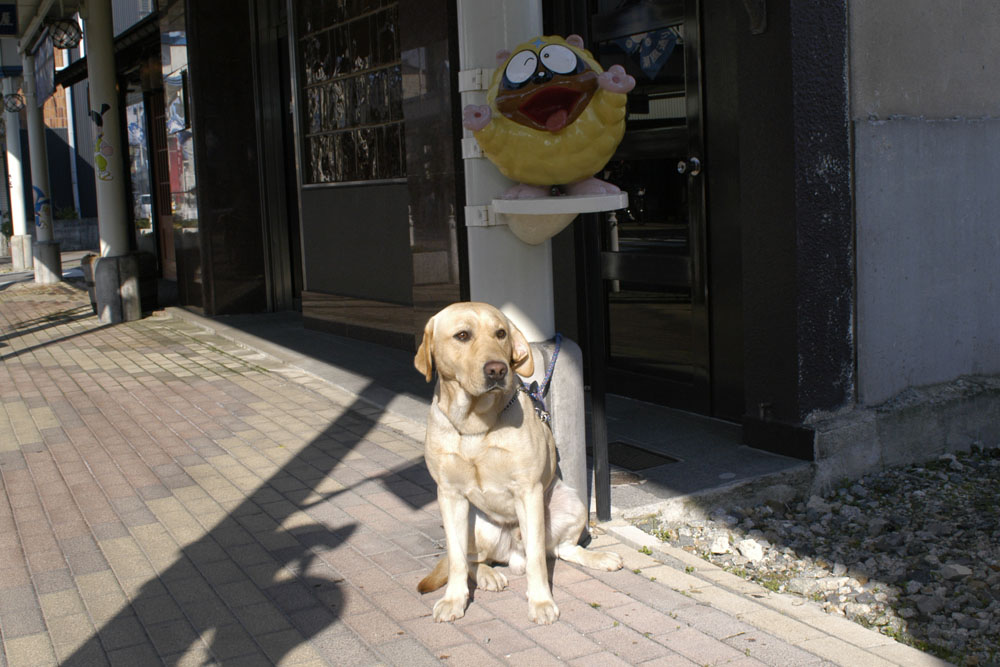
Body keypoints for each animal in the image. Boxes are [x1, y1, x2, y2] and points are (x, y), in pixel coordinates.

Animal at [412, 302, 616, 628]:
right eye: (462, 335)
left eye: (500, 333)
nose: (497, 369)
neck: (475, 424)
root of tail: (511, 553)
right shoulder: (449, 494)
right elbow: (456, 558)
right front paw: (454, 599)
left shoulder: (528, 492)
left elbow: (537, 560)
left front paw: (541, 601)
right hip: (477, 524)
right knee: (474, 560)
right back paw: (488, 576)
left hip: (571, 503)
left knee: (561, 549)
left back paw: (599, 559)